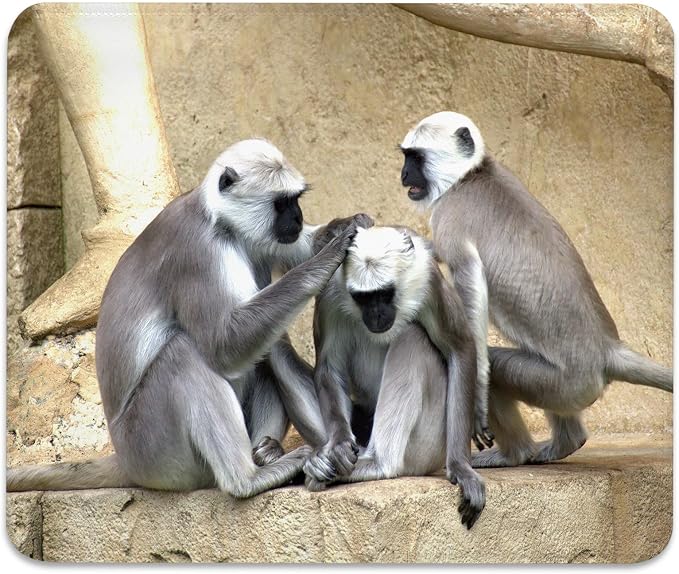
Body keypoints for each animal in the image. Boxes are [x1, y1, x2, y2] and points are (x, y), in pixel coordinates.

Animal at [7, 138, 372, 497]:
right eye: (282, 204)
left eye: (295, 201)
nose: (297, 217)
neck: (217, 220)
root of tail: (124, 457)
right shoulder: (198, 253)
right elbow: (224, 345)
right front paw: (332, 253)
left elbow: (297, 249)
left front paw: (347, 225)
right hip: (155, 448)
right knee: (185, 353)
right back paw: (250, 479)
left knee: (268, 345)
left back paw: (274, 454)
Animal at [303, 225, 486, 529]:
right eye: (364, 298)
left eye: (385, 294)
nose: (376, 314)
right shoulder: (330, 291)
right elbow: (329, 368)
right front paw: (338, 444)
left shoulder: (428, 278)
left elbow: (460, 349)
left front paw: (462, 468)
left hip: (429, 444)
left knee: (412, 335)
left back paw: (378, 463)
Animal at [399, 111, 673, 468]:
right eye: (406, 157)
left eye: (416, 158)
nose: (403, 174)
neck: (471, 175)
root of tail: (606, 350)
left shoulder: (450, 217)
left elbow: (470, 285)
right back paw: (564, 443)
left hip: (564, 384)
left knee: (498, 366)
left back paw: (513, 454)